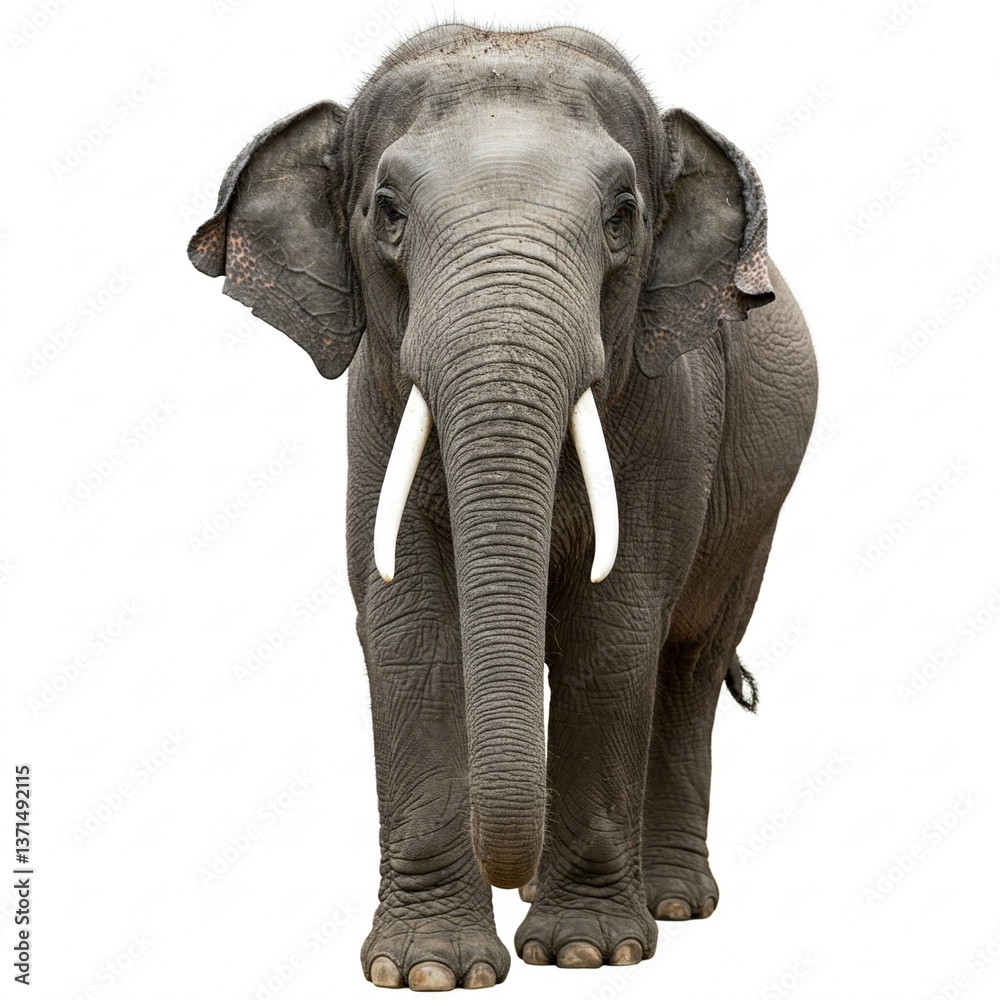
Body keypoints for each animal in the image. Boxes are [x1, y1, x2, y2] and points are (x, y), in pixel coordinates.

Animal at [188, 23, 818, 992]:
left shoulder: (673, 413)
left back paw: (673, 903)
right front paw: (429, 971)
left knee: (689, 659)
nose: (508, 874)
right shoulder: (374, 412)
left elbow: (612, 626)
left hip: (758, 501)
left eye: (623, 216)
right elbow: (407, 623)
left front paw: (588, 951)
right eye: (387, 211)